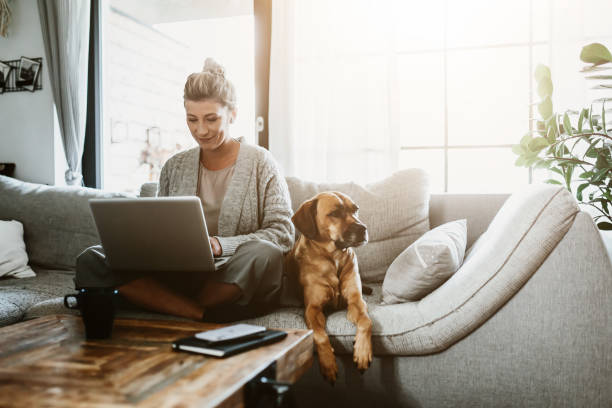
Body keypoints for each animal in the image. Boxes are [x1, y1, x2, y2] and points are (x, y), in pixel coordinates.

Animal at [286, 191, 372, 382]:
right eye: (335, 213)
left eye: (355, 209)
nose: (363, 229)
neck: (334, 258)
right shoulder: (312, 309)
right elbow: (319, 336)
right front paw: (328, 363)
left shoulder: (356, 301)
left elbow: (366, 321)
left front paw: (362, 352)